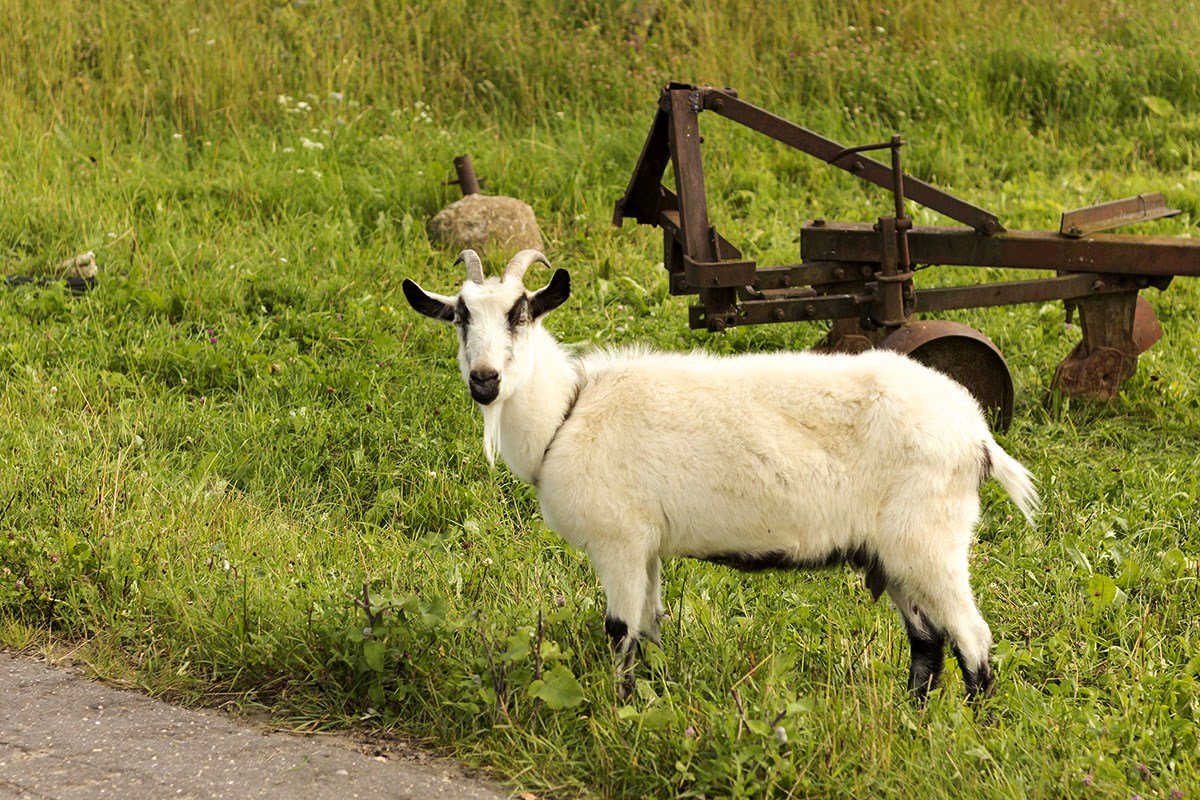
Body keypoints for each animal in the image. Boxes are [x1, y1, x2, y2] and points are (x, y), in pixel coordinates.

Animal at [405, 250, 1041, 700]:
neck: (569, 411)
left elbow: (620, 631)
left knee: (974, 642)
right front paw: (652, 702)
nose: (485, 380)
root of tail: (977, 434)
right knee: (927, 643)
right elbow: (650, 628)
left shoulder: (619, 540)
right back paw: (911, 722)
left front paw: (618, 714)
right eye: (460, 316)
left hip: (930, 541)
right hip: (895, 551)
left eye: (521, 312)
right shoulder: (647, 546)